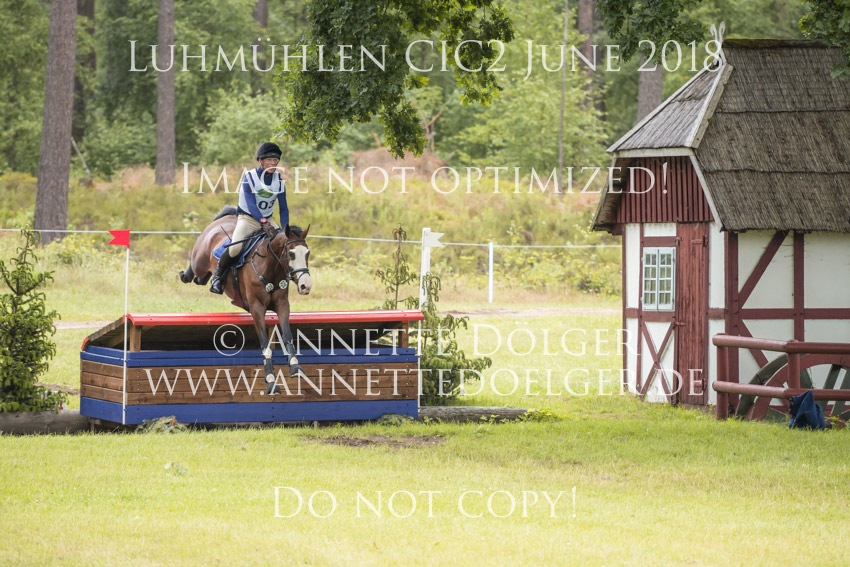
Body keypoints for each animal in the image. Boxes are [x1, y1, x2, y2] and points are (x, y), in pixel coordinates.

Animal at [179, 206, 312, 394]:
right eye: (291, 254)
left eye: (307, 253)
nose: (305, 285)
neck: (270, 267)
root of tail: (224, 218)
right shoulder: (257, 308)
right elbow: (265, 345)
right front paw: (271, 380)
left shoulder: (282, 305)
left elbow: (287, 336)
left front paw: (295, 368)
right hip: (200, 261)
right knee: (195, 270)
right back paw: (187, 274)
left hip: (204, 274)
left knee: (201, 279)